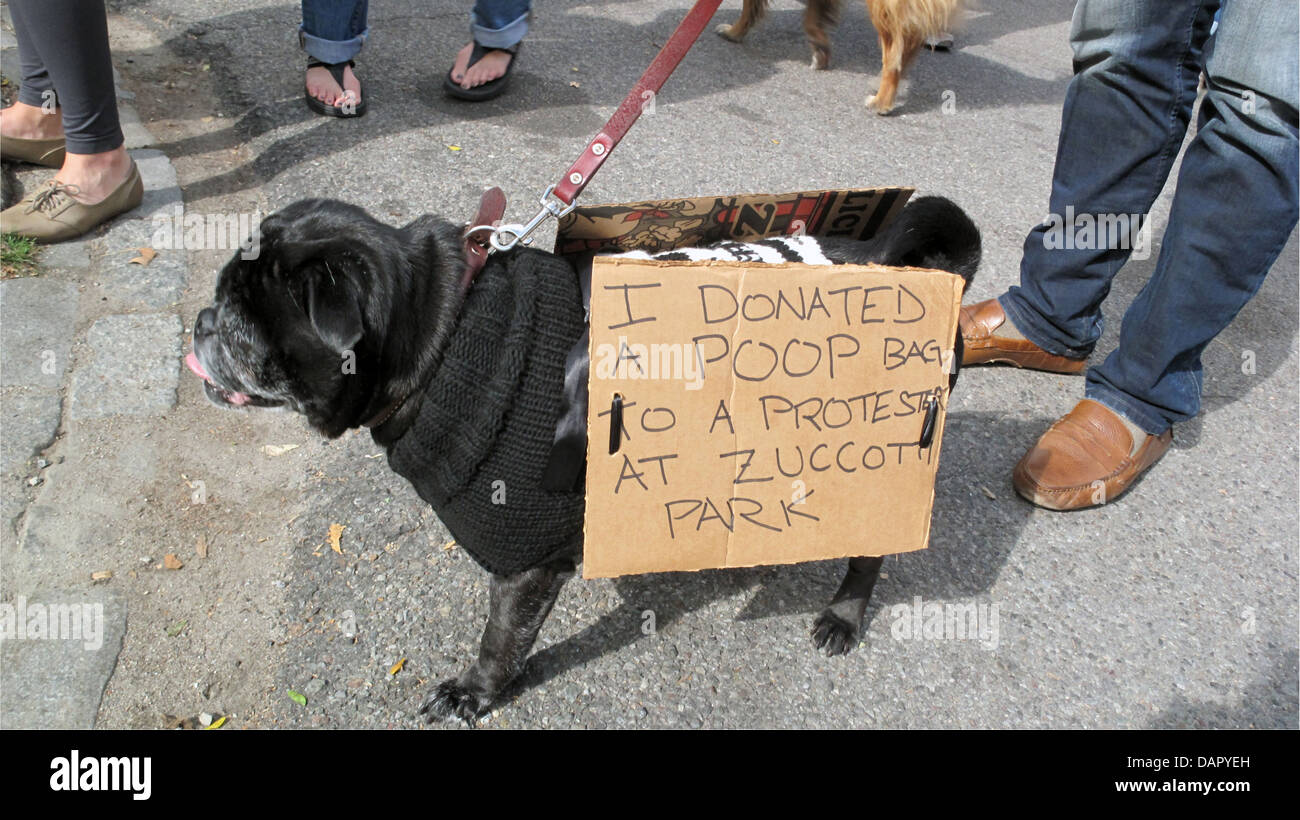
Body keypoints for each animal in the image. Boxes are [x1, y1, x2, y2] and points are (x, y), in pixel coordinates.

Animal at [185, 196, 977, 722]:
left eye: (241, 327)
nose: (198, 322)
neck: (443, 338)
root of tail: (894, 266)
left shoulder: (525, 560)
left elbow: (501, 641)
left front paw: (475, 694)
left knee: (871, 548)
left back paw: (843, 615)